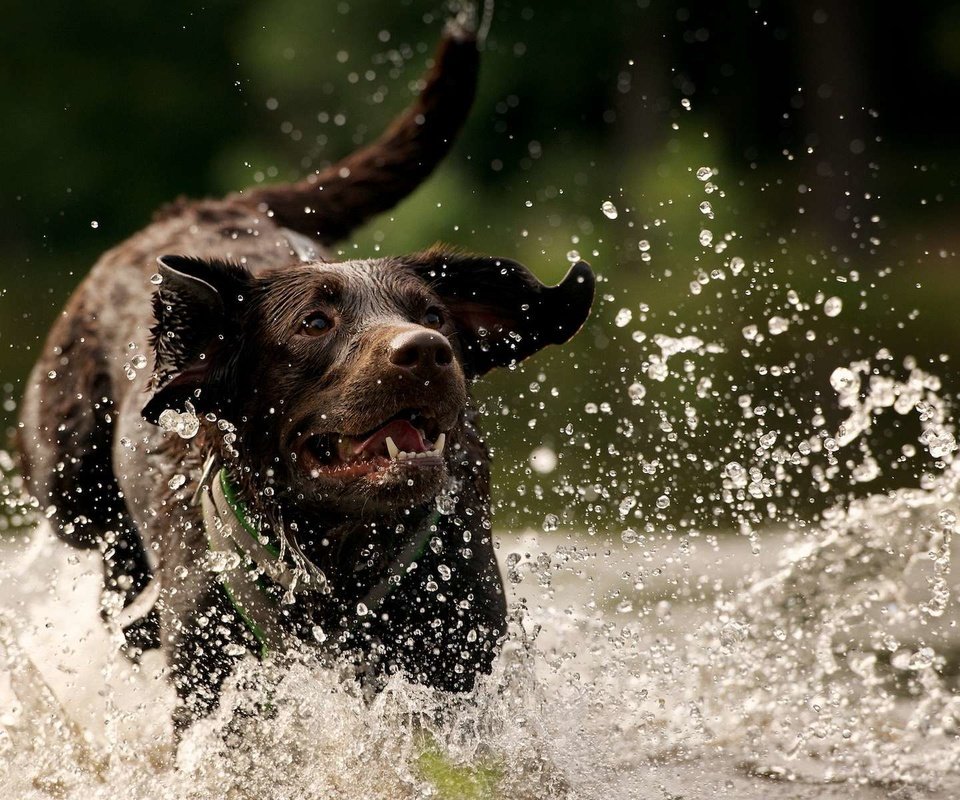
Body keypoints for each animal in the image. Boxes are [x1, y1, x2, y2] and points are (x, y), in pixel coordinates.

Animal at [16, 15, 592, 728]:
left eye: (434, 314)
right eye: (314, 323)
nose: (426, 350)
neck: (338, 561)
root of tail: (199, 206)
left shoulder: (457, 657)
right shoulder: (211, 683)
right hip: (67, 481)